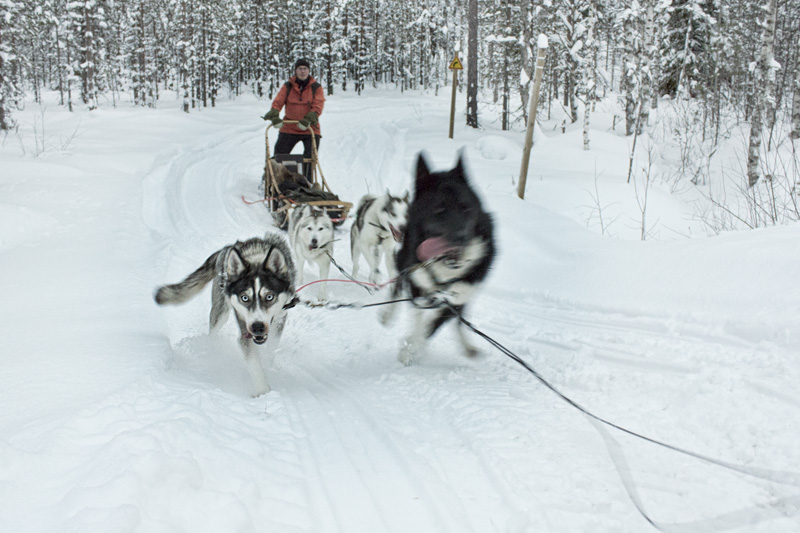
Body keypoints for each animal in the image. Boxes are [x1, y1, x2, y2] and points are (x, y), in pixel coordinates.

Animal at [154, 233, 296, 394]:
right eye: (244, 298)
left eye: (269, 296)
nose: (257, 327)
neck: (256, 259)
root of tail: (226, 248)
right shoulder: (244, 328)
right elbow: (254, 363)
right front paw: (263, 391)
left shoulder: (280, 319)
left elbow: (271, 348)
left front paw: (268, 364)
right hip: (220, 312)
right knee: (213, 333)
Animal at [382, 152, 494, 364]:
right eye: (439, 209)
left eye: (466, 208)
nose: (462, 238)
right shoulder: (417, 286)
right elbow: (419, 319)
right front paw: (410, 348)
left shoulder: (459, 297)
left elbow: (432, 326)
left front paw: (411, 348)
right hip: (405, 261)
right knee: (399, 283)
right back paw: (388, 314)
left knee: (458, 320)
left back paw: (467, 346)